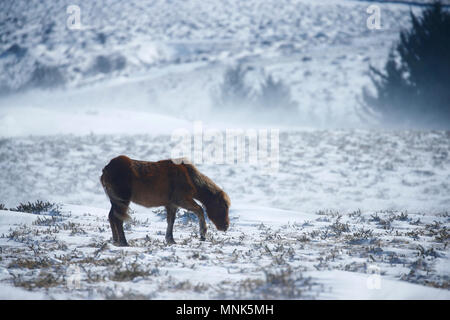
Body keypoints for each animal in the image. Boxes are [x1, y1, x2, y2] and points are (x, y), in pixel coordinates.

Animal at [100, 156, 230, 246]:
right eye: (223, 206)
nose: (225, 226)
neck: (191, 179)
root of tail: (105, 171)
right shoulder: (181, 199)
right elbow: (199, 210)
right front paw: (202, 234)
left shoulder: (171, 204)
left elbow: (171, 221)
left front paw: (170, 239)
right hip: (122, 200)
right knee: (118, 218)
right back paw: (123, 242)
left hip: (115, 201)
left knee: (111, 216)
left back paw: (115, 240)